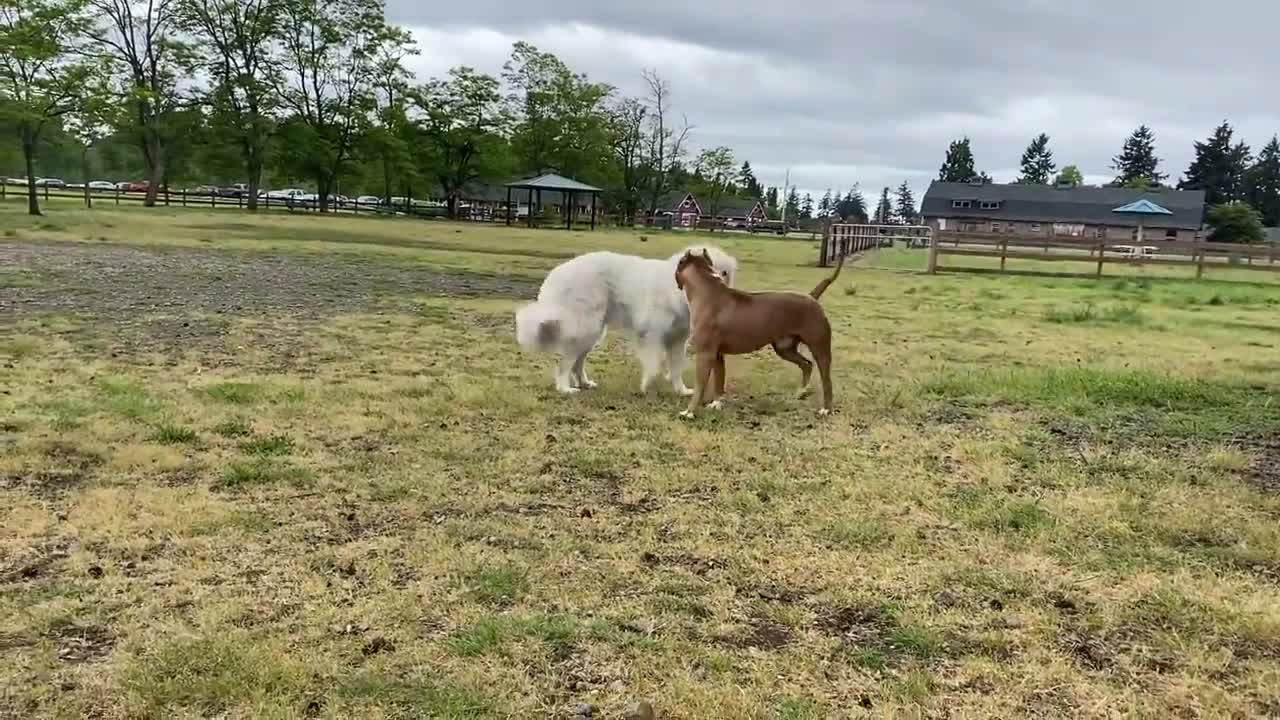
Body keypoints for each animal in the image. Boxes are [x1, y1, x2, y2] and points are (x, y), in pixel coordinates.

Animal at [512, 244, 737, 392]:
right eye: (708, 268)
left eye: (724, 272)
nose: (719, 282)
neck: (677, 289)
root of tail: (557, 273)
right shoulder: (651, 336)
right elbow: (654, 367)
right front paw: (647, 387)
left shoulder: (677, 341)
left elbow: (676, 370)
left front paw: (681, 391)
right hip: (585, 328)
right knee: (565, 362)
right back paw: (565, 388)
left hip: (592, 333)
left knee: (578, 362)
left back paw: (584, 383)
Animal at [675, 249, 844, 415]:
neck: (707, 290)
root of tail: (811, 296)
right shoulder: (717, 355)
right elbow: (719, 380)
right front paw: (716, 404)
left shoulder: (705, 354)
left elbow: (700, 386)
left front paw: (689, 412)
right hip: (784, 349)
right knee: (807, 364)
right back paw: (802, 391)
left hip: (819, 348)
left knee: (826, 380)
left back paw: (826, 409)